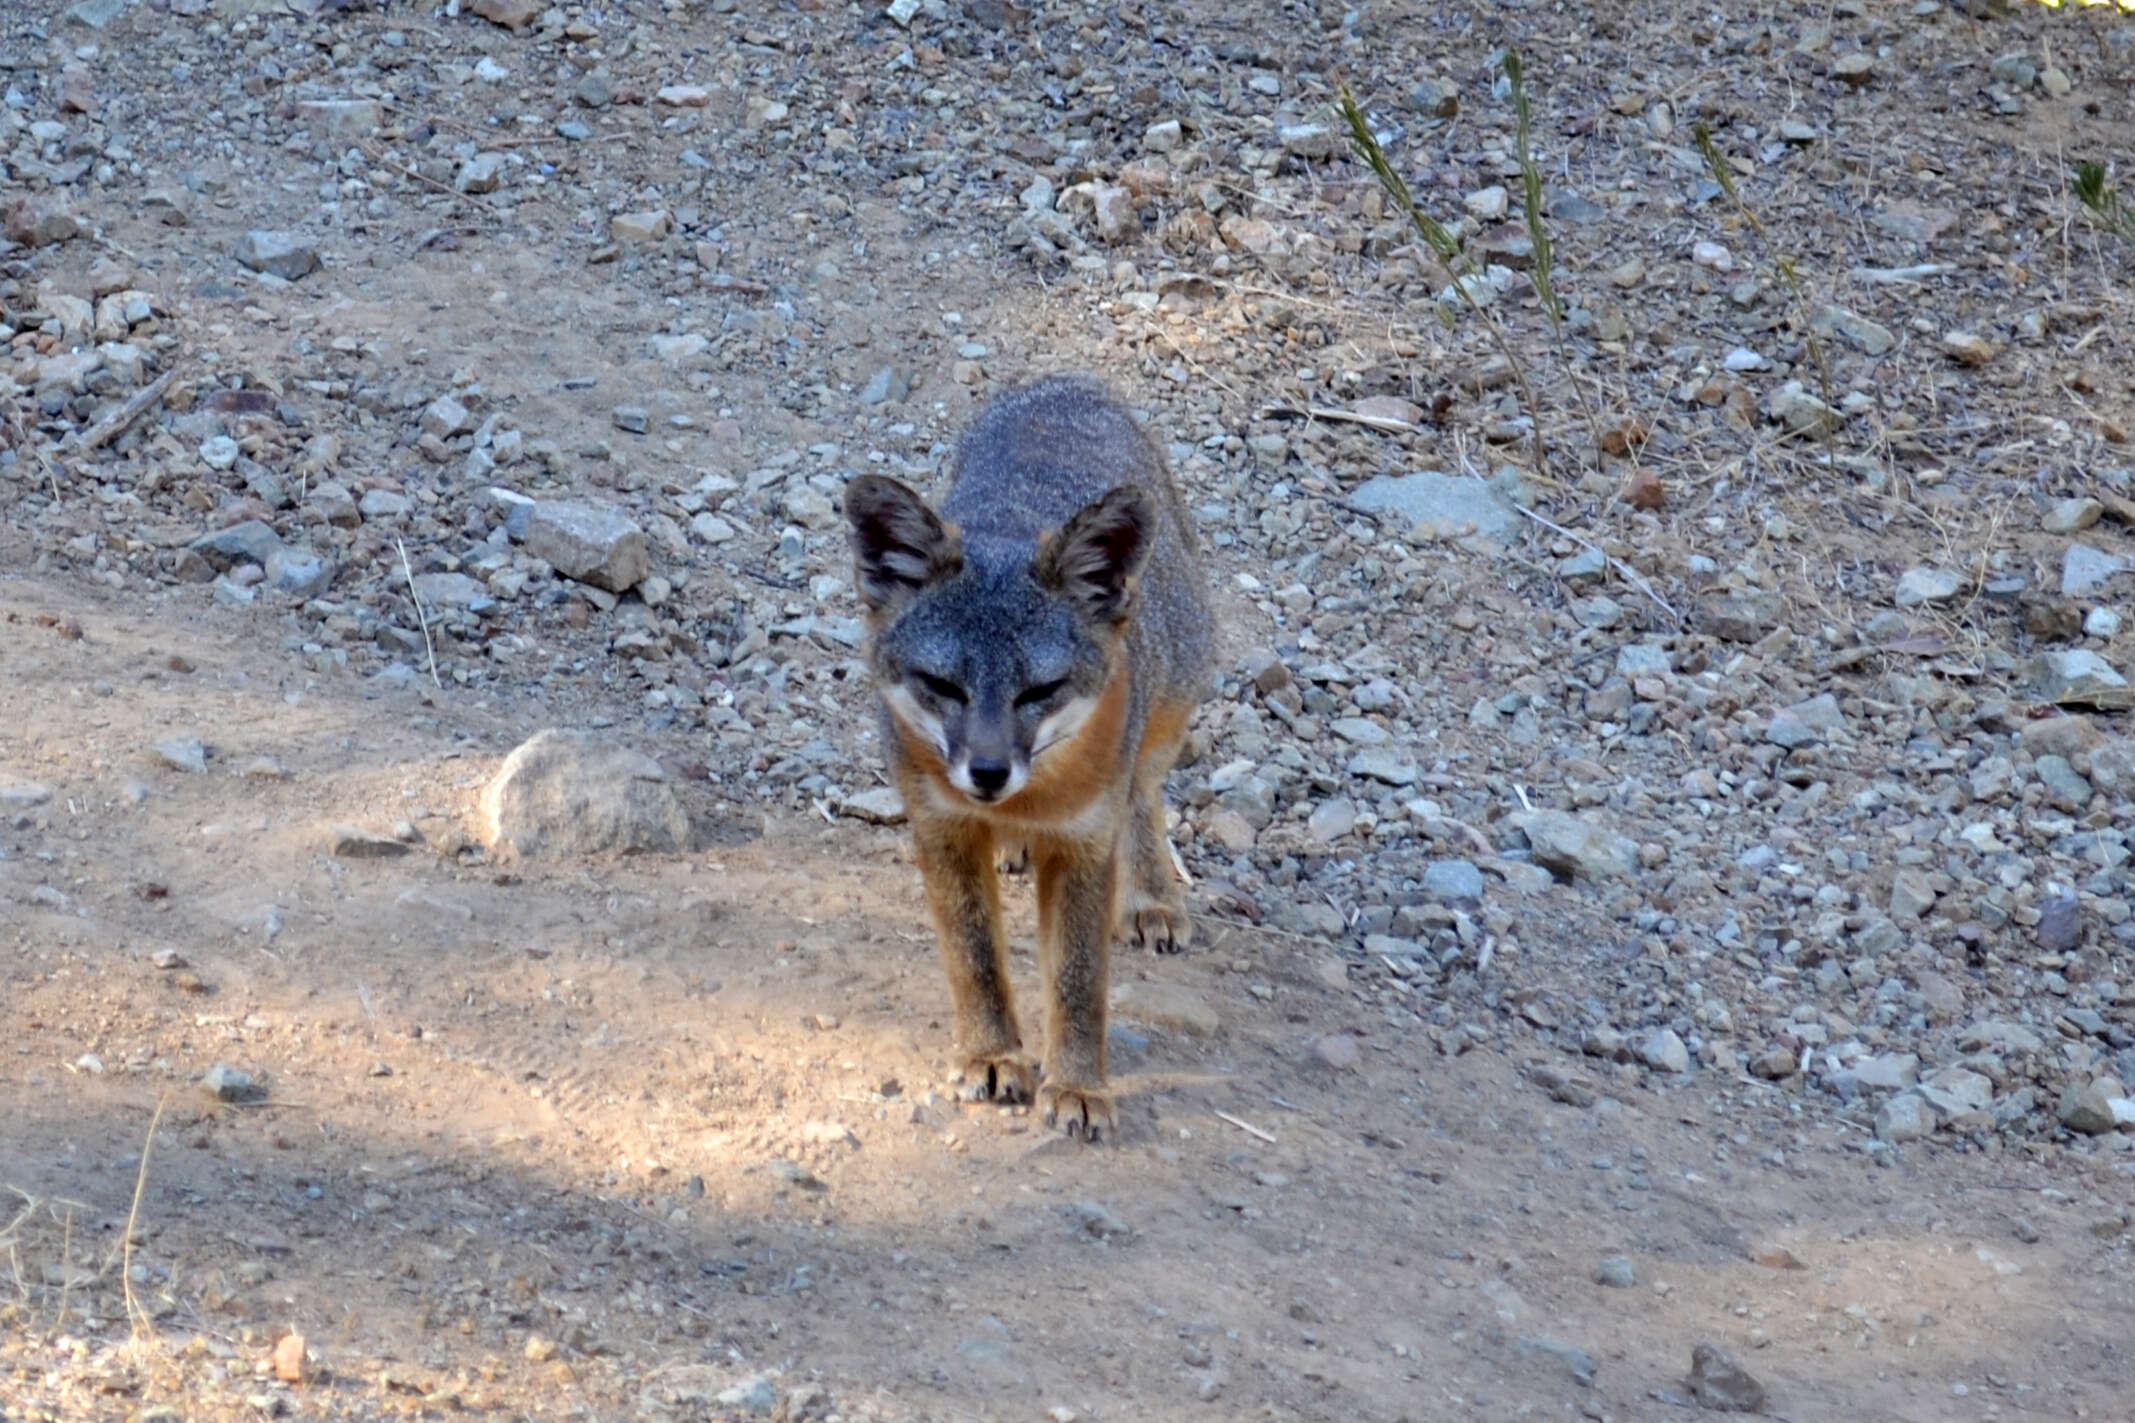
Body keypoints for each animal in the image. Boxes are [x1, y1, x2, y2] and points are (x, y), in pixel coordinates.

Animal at [849, 373, 1221, 1143]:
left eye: (1039, 690)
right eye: (942, 686)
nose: (988, 773)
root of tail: (1065, 380)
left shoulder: (1084, 842)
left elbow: (1079, 981)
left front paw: (1078, 1087)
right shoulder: (941, 827)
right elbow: (975, 959)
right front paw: (991, 1055)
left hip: (1170, 702)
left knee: (1145, 794)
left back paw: (1150, 895)